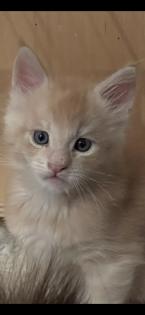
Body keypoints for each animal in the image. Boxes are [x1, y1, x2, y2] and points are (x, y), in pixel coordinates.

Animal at [3, 47, 145, 304]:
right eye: (41, 137)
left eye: (82, 145)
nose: (57, 166)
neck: (54, 210)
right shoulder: (41, 259)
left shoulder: (113, 264)